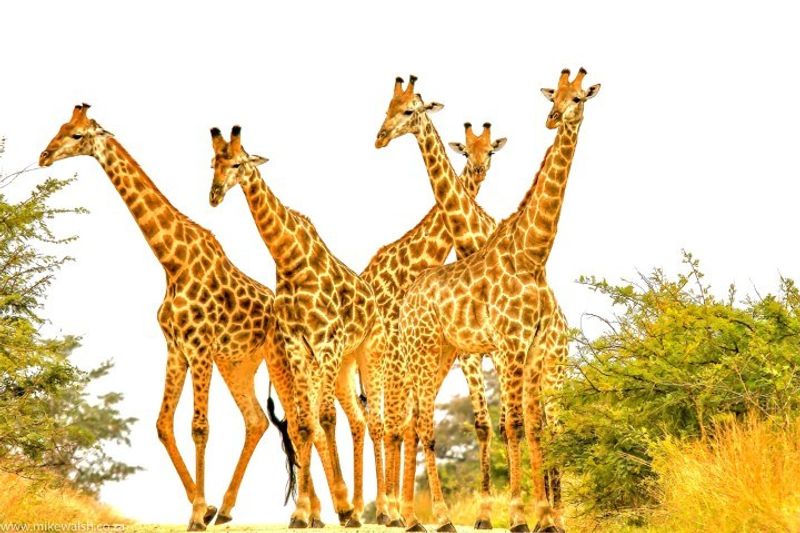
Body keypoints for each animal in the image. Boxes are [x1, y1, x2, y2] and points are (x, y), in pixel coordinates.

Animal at [37, 104, 321, 530]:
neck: (172, 262)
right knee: (257, 420)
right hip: (237, 363)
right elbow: (162, 424)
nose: (44, 156)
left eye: (77, 135)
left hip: (279, 359)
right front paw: (204, 507)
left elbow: (199, 427)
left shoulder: (199, 347)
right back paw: (235, 508)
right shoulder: (176, 348)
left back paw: (306, 512)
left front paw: (197, 513)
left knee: (301, 421)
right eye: (60, 126)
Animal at [208, 125, 386, 528]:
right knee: (352, 420)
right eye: (213, 162)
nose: (214, 194)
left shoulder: (326, 343)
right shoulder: (297, 348)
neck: (290, 260)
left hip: (365, 353)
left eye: (238, 163)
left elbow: (325, 418)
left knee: (373, 420)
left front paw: (342, 507)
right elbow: (304, 424)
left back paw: (378, 510)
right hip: (343, 364)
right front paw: (303, 513)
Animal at [396, 68, 599, 531]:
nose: (553, 118)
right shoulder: (495, 350)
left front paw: (538, 515)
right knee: (419, 421)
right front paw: (516, 515)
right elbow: (502, 425)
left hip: (548, 366)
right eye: (554, 96)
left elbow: (522, 426)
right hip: (429, 355)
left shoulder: (519, 349)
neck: (529, 253)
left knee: (549, 425)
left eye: (578, 96)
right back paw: (431, 516)